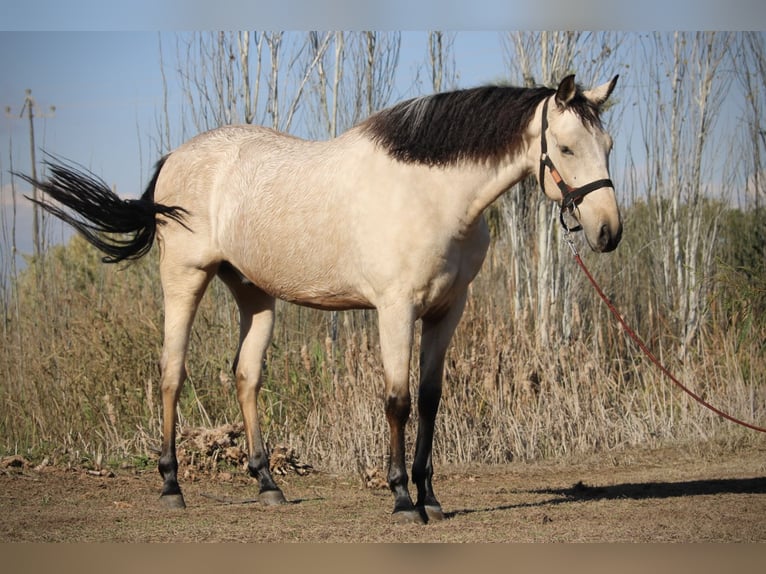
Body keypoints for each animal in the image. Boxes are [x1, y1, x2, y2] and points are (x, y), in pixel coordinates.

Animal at [22, 74, 624, 524]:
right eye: (565, 147)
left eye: (609, 146)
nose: (607, 232)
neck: (431, 193)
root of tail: (176, 157)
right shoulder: (396, 309)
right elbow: (398, 401)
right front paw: (402, 499)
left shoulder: (446, 311)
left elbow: (430, 400)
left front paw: (431, 496)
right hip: (185, 279)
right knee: (172, 371)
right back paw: (171, 486)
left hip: (254, 294)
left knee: (246, 375)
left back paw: (267, 483)